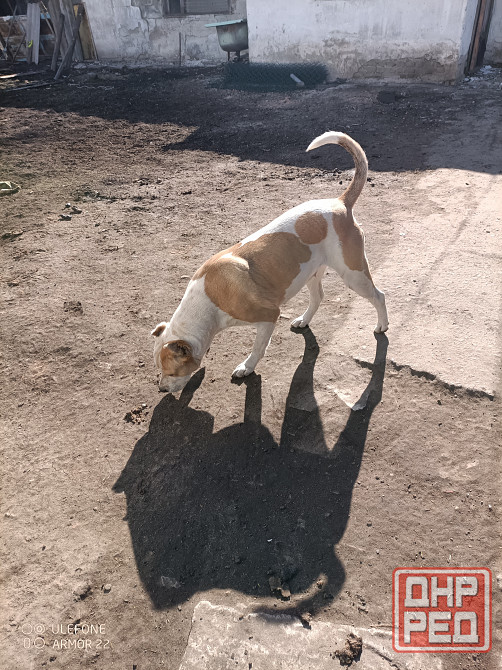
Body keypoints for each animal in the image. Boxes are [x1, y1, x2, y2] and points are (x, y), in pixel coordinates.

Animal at [152, 132, 388, 393]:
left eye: (171, 371)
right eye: (159, 369)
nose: (161, 389)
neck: (208, 300)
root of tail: (339, 203)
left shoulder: (268, 317)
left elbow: (257, 348)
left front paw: (247, 367)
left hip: (354, 275)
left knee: (379, 296)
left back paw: (382, 325)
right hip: (310, 273)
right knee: (318, 297)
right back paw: (304, 320)